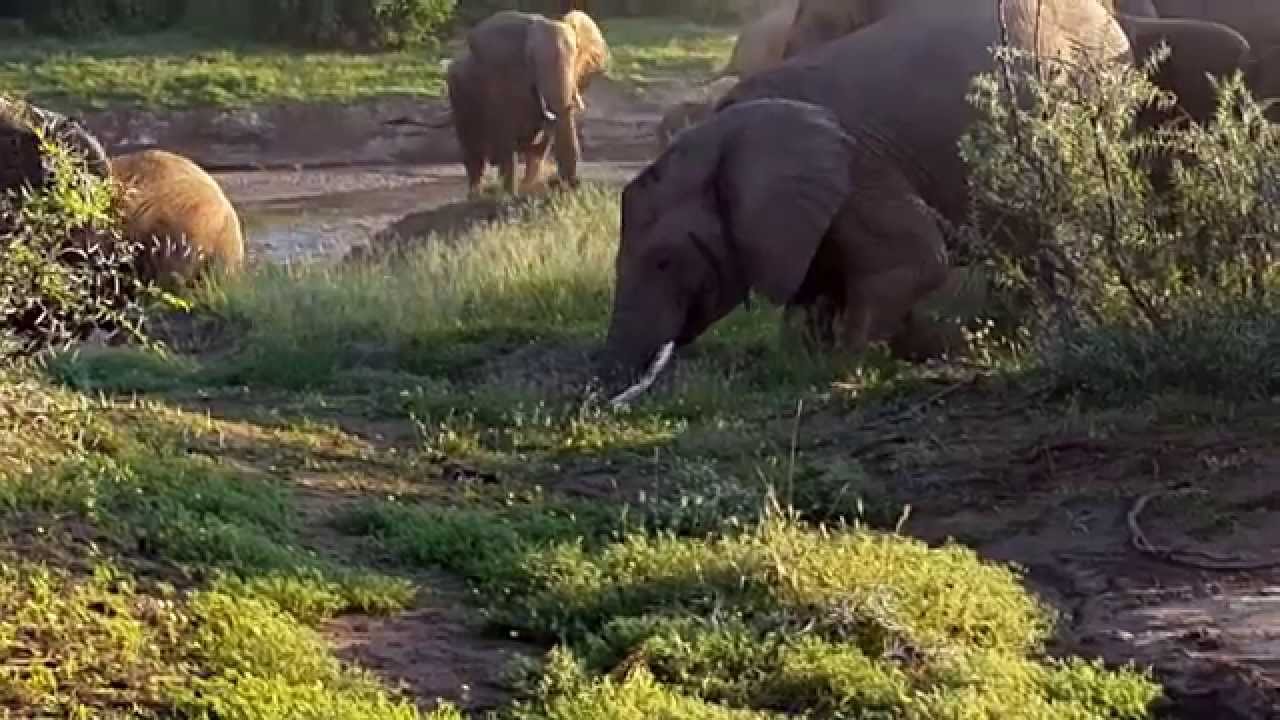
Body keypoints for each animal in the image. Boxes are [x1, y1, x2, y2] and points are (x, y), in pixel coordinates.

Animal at [434, 10, 609, 197]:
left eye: (575, 58)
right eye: (531, 60)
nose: (561, 183)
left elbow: (540, 146)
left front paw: (528, 187)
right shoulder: (502, 81)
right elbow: (506, 140)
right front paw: (510, 195)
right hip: (459, 97)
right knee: (473, 153)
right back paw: (476, 196)